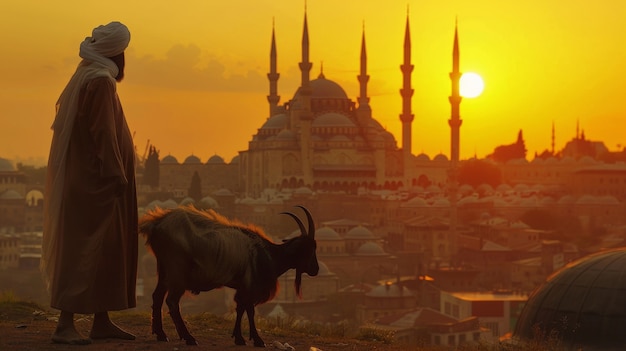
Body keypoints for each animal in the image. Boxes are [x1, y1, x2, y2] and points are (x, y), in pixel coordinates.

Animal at [140, 205, 320, 348]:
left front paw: (239, 338)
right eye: (311, 249)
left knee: (157, 296)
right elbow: (249, 310)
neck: (269, 254)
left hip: (164, 270)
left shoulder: (242, 286)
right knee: (172, 302)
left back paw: (161, 334)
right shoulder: (250, 284)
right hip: (177, 271)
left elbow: (240, 308)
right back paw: (189, 338)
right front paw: (257, 340)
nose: (316, 270)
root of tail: (155, 224)